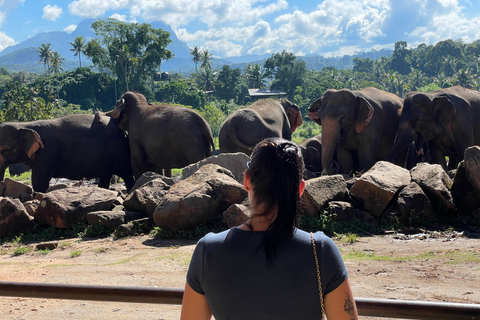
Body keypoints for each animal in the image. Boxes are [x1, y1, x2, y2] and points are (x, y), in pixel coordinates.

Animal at [0, 114, 135, 192]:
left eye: (4, 150)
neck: (24, 125)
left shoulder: (47, 151)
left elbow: (39, 182)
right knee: (105, 177)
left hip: (119, 150)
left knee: (127, 174)